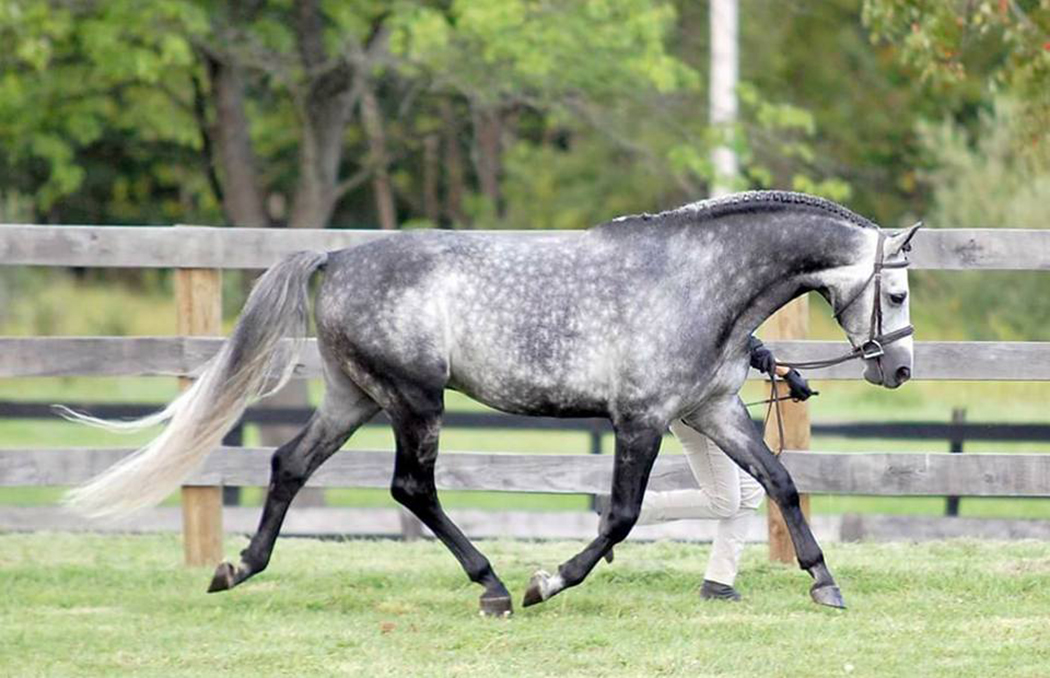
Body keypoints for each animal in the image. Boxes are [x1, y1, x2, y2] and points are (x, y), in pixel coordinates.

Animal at [67, 189, 919, 617]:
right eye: (898, 292)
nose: (902, 370)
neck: (697, 281)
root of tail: (336, 256)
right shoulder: (640, 420)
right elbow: (621, 516)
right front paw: (549, 581)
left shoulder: (711, 412)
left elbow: (778, 482)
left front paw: (825, 584)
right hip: (414, 400)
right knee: (410, 487)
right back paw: (496, 588)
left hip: (354, 397)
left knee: (287, 465)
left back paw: (237, 568)